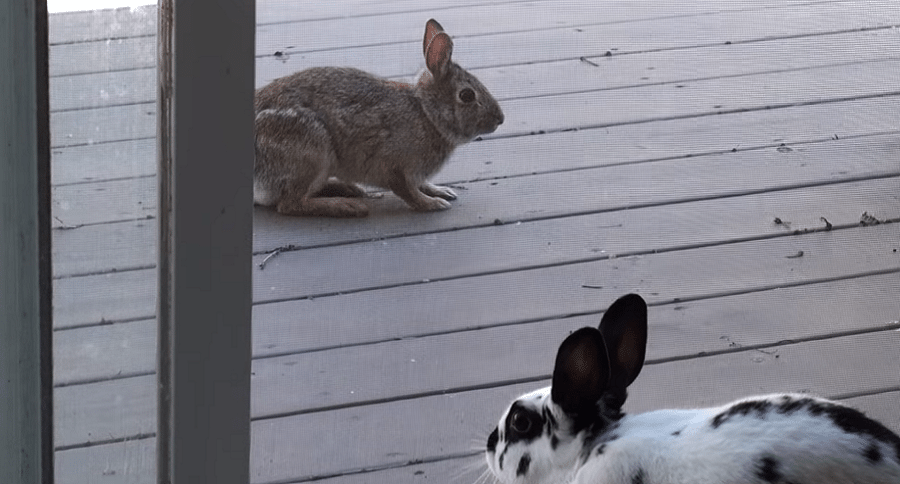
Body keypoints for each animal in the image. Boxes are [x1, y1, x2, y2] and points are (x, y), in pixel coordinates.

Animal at [253, 19, 504, 217]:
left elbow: (420, 184)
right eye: (467, 95)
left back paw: (350, 190)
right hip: (312, 151)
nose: (500, 119)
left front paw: (441, 191)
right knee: (289, 204)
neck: (426, 113)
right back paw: (348, 206)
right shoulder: (393, 166)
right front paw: (433, 204)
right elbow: (407, 191)